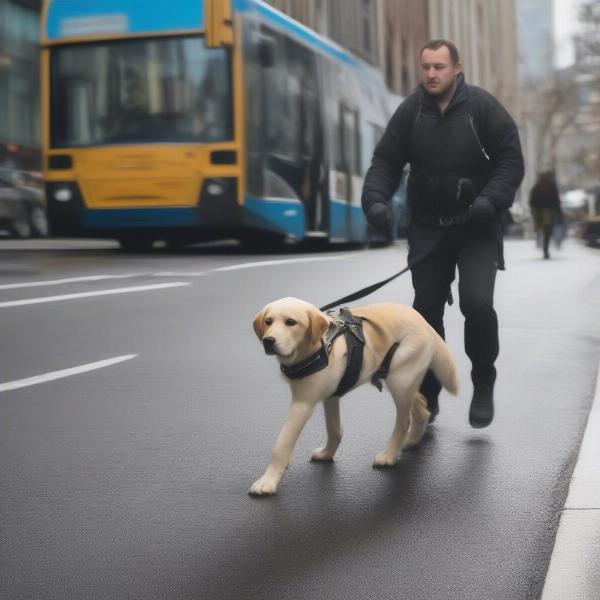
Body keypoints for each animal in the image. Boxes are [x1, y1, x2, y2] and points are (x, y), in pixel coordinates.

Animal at [250, 296, 460, 496]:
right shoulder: (331, 397)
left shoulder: (302, 404)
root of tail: (423, 321)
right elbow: (334, 430)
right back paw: (409, 441)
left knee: (404, 421)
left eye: (291, 322)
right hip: (400, 379)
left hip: (400, 381)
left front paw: (267, 482)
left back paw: (389, 455)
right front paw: (327, 454)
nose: (268, 341)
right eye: (268, 321)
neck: (319, 346)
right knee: (422, 409)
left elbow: (281, 445)